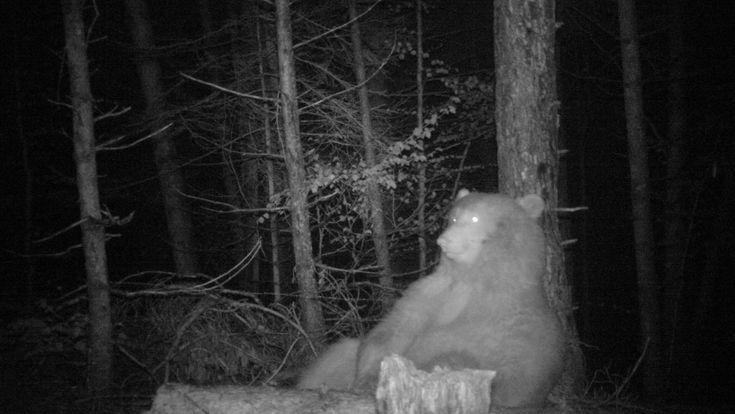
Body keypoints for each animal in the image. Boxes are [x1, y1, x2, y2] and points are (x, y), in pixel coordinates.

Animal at [297, 190, 565, 409]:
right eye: (453, 217)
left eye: (475, 219)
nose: (444, 240)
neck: (473, 279)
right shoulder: (432, 293)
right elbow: (392, 330)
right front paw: (367, 379)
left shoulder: (514, 321)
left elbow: (516, 378)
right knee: (339, 354)